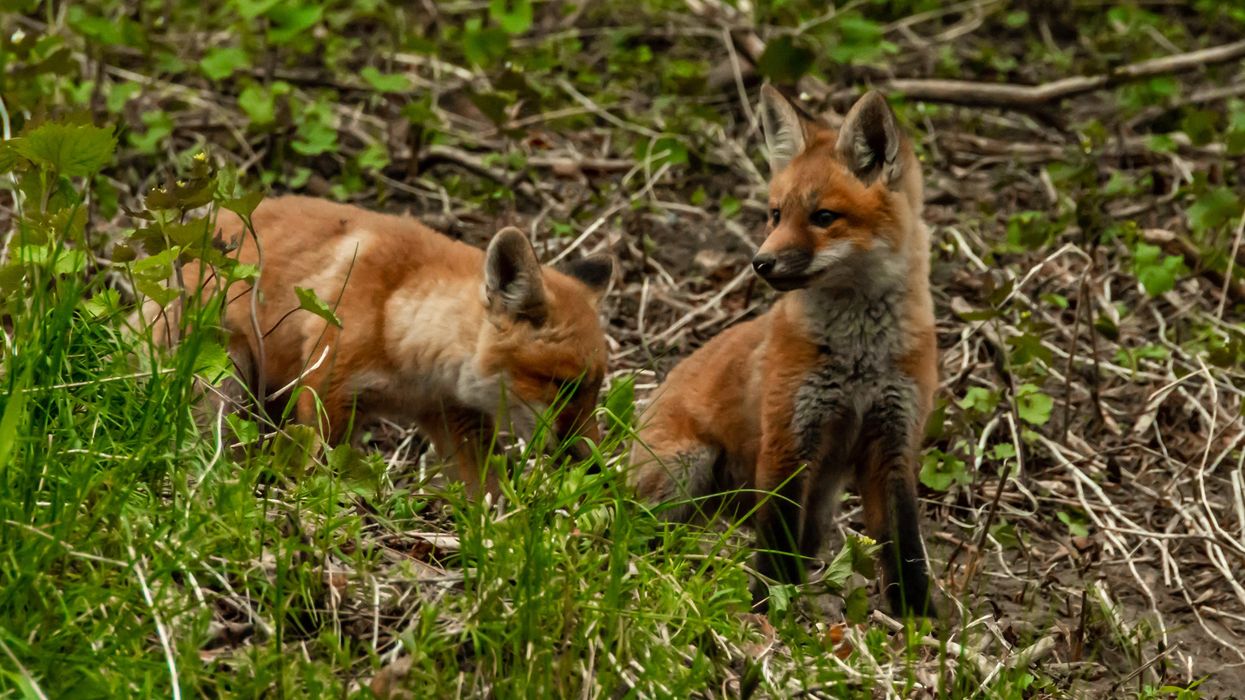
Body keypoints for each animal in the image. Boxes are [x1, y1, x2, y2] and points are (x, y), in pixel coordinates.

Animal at [146, 196, 613, 497]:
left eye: (595, 390)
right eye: (565, 385)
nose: (594, 465)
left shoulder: (454, 418)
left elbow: (485, 494)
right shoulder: (327, 390)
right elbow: (321, 469)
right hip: (225, 379)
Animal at [630, 86, 937, 617]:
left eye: (823, 218)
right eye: (776, 214)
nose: (760, 262)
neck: (861, 358)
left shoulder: (895, 444)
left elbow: (907, 548)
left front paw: (922, 623)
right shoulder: (786, 439)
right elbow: (774, 546)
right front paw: (773, 614)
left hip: (818, 504)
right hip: (687, 466)